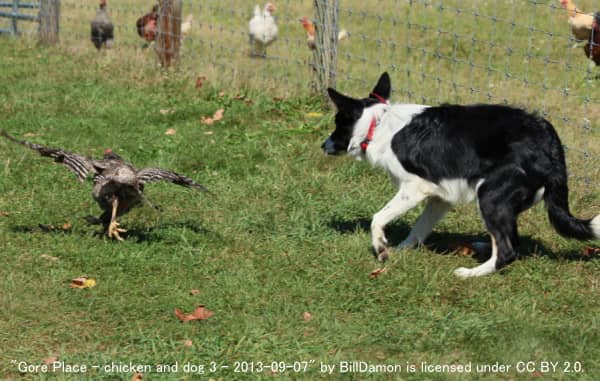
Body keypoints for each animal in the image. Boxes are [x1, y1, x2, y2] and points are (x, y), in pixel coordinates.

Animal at [322, 72, 596, 278]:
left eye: (337, 122)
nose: (323, 145)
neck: (378, 124)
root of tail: (548, 139)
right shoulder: (440, 198)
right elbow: (419, 229)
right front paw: (401, 250)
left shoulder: (414, 189)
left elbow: (378, 218)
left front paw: (381, 248)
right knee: (509, 239)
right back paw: (483, 247)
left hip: (490, 196)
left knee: (507, 250)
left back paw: (470, 273)